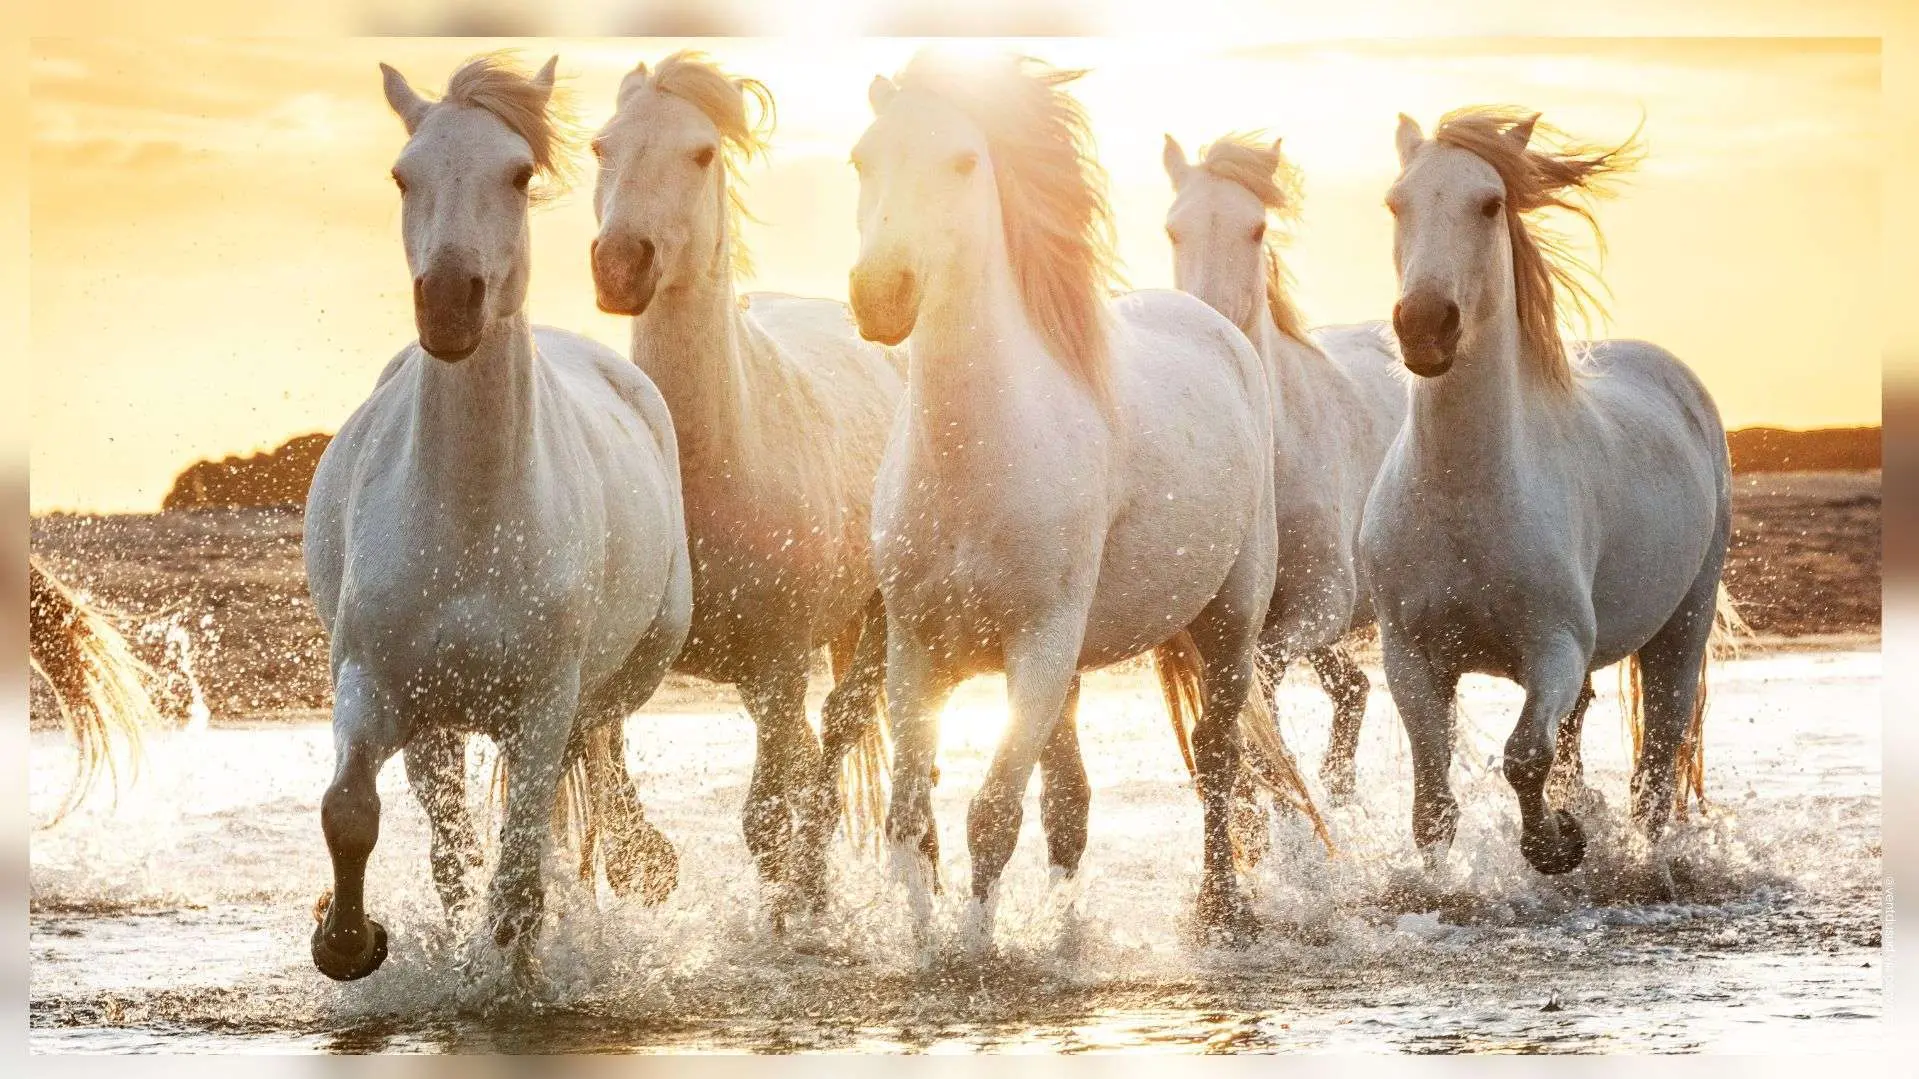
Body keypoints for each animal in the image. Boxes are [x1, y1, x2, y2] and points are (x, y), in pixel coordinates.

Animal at [303, 54, 693, 981]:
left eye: (517, 174)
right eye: (402, 175)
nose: (450, 302)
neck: (475, 518)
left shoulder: (542, 705)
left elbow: (518, 874)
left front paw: (511, 976)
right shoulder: (377, 686)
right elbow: (353, 811)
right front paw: (350, 940)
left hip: (617, 676)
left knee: (594, 764)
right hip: (441, 722)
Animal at [587, 52, 910, 923]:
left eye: (701, 153)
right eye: (600, 145)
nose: (619, 265)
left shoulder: (777, 660)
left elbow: (766, 816)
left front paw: (780, 920)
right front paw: (643, 865)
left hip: (865, 627)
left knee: (831, 737)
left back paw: (812, 888)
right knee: (807, 748)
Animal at [849, 51, 1285, 948]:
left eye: (963, 161)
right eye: (860, 159)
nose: (879, 294)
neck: (975, 459)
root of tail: (1214, 326)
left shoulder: (1040, 646)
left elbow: (989, 814)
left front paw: (973, 948)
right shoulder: (916, 650)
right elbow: (912, 817)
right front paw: (921, 939)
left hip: (1228, 623)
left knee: (1215, 758)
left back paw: (1219, 908)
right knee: (1071, 801)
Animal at [1161, 132, 1408, 803]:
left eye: (1256, 228)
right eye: (1173, 229)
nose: (1213, 327)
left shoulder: (1320, 603)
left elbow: (1261, 689)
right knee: (1353, 690)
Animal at [1359, 107, 1737, 897]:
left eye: (1488, 203)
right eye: (1394, 203)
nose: (1424, 325)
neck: (1466, 492)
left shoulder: (1555, 648)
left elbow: (1521, 757)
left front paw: (1557, 844)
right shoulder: (1410, 655)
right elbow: (1433, 800)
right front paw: (1441, 888)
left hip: (1682, 624)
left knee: (1656, 766)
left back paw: (1644, 864)